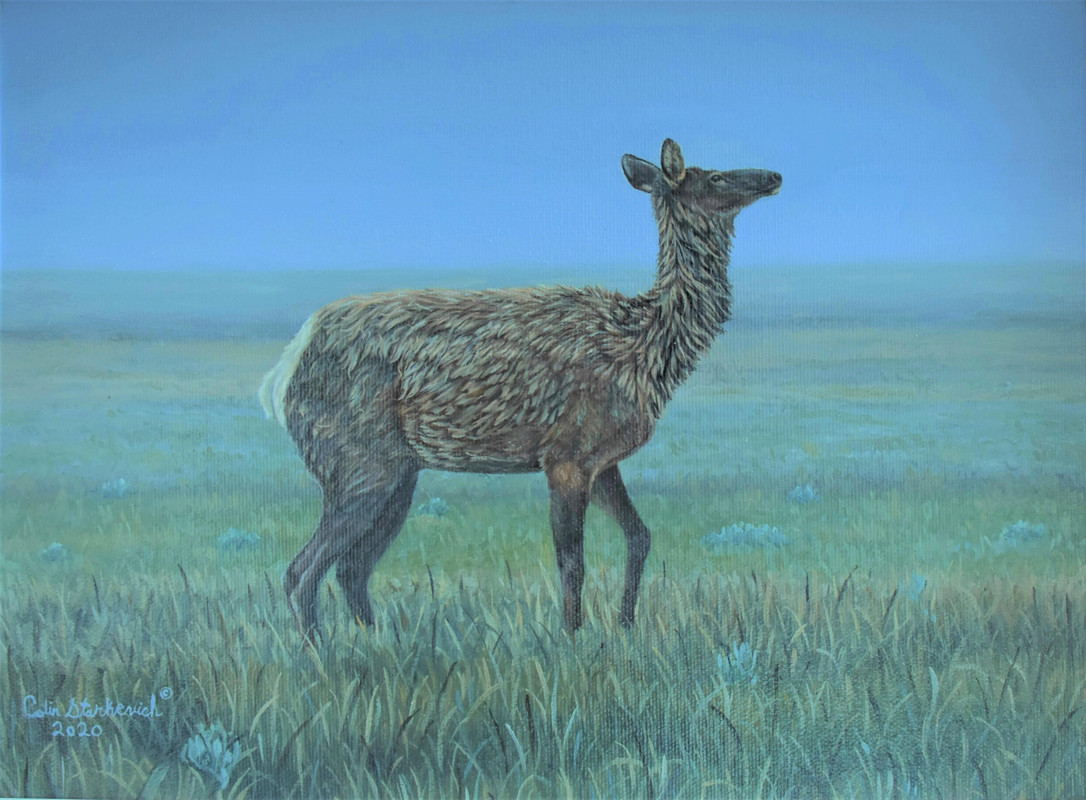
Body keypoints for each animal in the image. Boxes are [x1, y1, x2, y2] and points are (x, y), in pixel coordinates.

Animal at [259, 139, 781, 639]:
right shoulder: (565, 458)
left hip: (397, 474)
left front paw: (626, 627)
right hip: (358, 463)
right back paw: (320, 653)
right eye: (714, 176)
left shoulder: (602, 460)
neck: (645, 351)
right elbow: (572, 562)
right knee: (301, 571)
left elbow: (640, 537)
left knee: (350, 569)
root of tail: (281, 375)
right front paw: (574, 641)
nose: (774, 175)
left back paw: (380, 644)